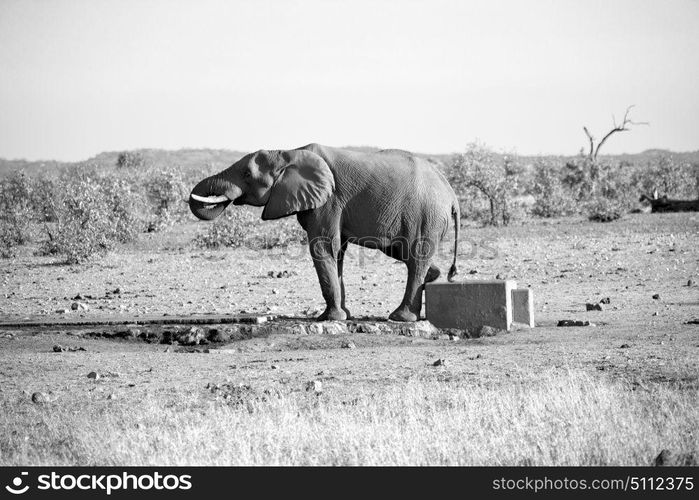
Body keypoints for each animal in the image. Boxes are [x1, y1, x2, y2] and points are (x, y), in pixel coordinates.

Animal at [190, 143, 460, 322]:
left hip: (426, 216)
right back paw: (432, 278)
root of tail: (452, 195)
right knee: (406, 254)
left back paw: (400, 318)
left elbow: (323, 246)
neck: (289, 152)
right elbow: (336, 251)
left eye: (247, 174)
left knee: (416, 257)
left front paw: (329, 319)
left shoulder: (329, 201)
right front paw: (343, 315)